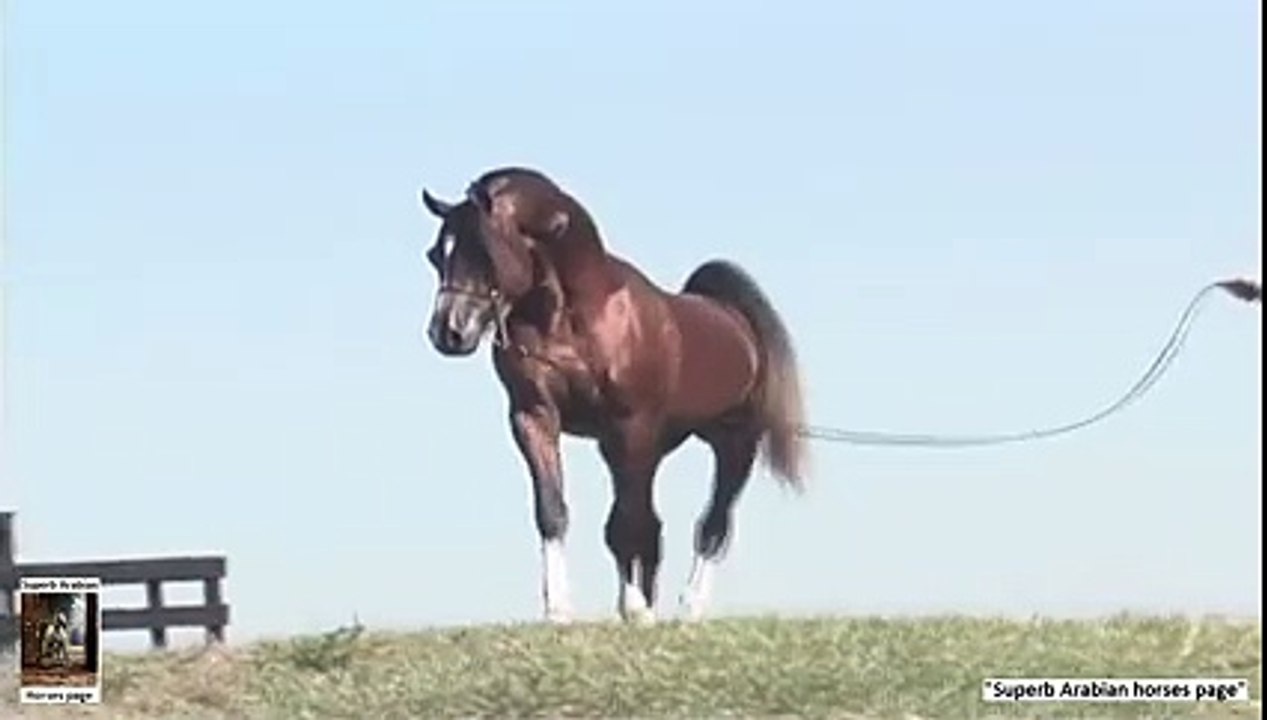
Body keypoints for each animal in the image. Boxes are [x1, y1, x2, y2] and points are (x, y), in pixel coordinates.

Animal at [417, 166, 807, 623]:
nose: (447, 331)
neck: (573, 320)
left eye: (486, 251)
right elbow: (554, 511)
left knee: (712, 525)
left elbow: (626, 524)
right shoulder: (535, 417)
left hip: (734, 445)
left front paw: (634, 608)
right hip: (649, 446)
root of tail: (737, 324)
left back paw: (688, 607)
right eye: (435, 254)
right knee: (654, 526)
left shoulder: (629, 426)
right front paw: (560, 610)